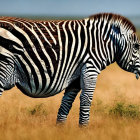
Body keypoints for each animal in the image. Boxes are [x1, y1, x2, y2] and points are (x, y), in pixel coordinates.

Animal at [0, 12, 140, 125]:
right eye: (137, 46)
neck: (102, 44)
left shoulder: (76, 76)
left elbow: (66, 103)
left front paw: (61, 130)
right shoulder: (90, 68)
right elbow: (86, 100)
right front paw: (84, 130)